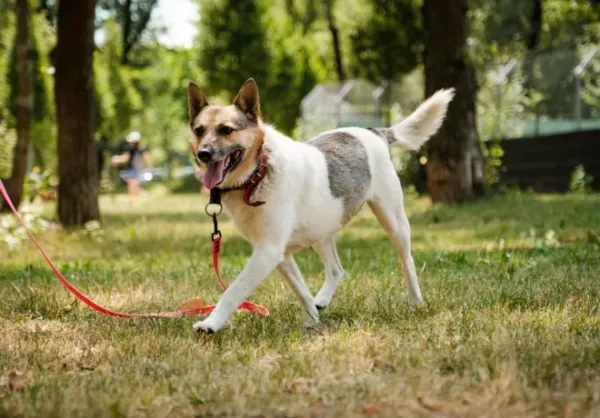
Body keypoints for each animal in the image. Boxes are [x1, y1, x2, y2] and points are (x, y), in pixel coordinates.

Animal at [188, 78, 454, 334]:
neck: (259, 172)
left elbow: (234, 289)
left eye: (226, 130)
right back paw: (322, 301)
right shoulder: (280, 254)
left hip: (394, 222)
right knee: (336, 269)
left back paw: (415, 302)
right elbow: (301, 290)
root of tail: (374, 132)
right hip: (321, 230)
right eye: (199, 131)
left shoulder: (268, 251)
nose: (203, 154)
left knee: (407, 261)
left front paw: (211, 324)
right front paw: (313, 319)